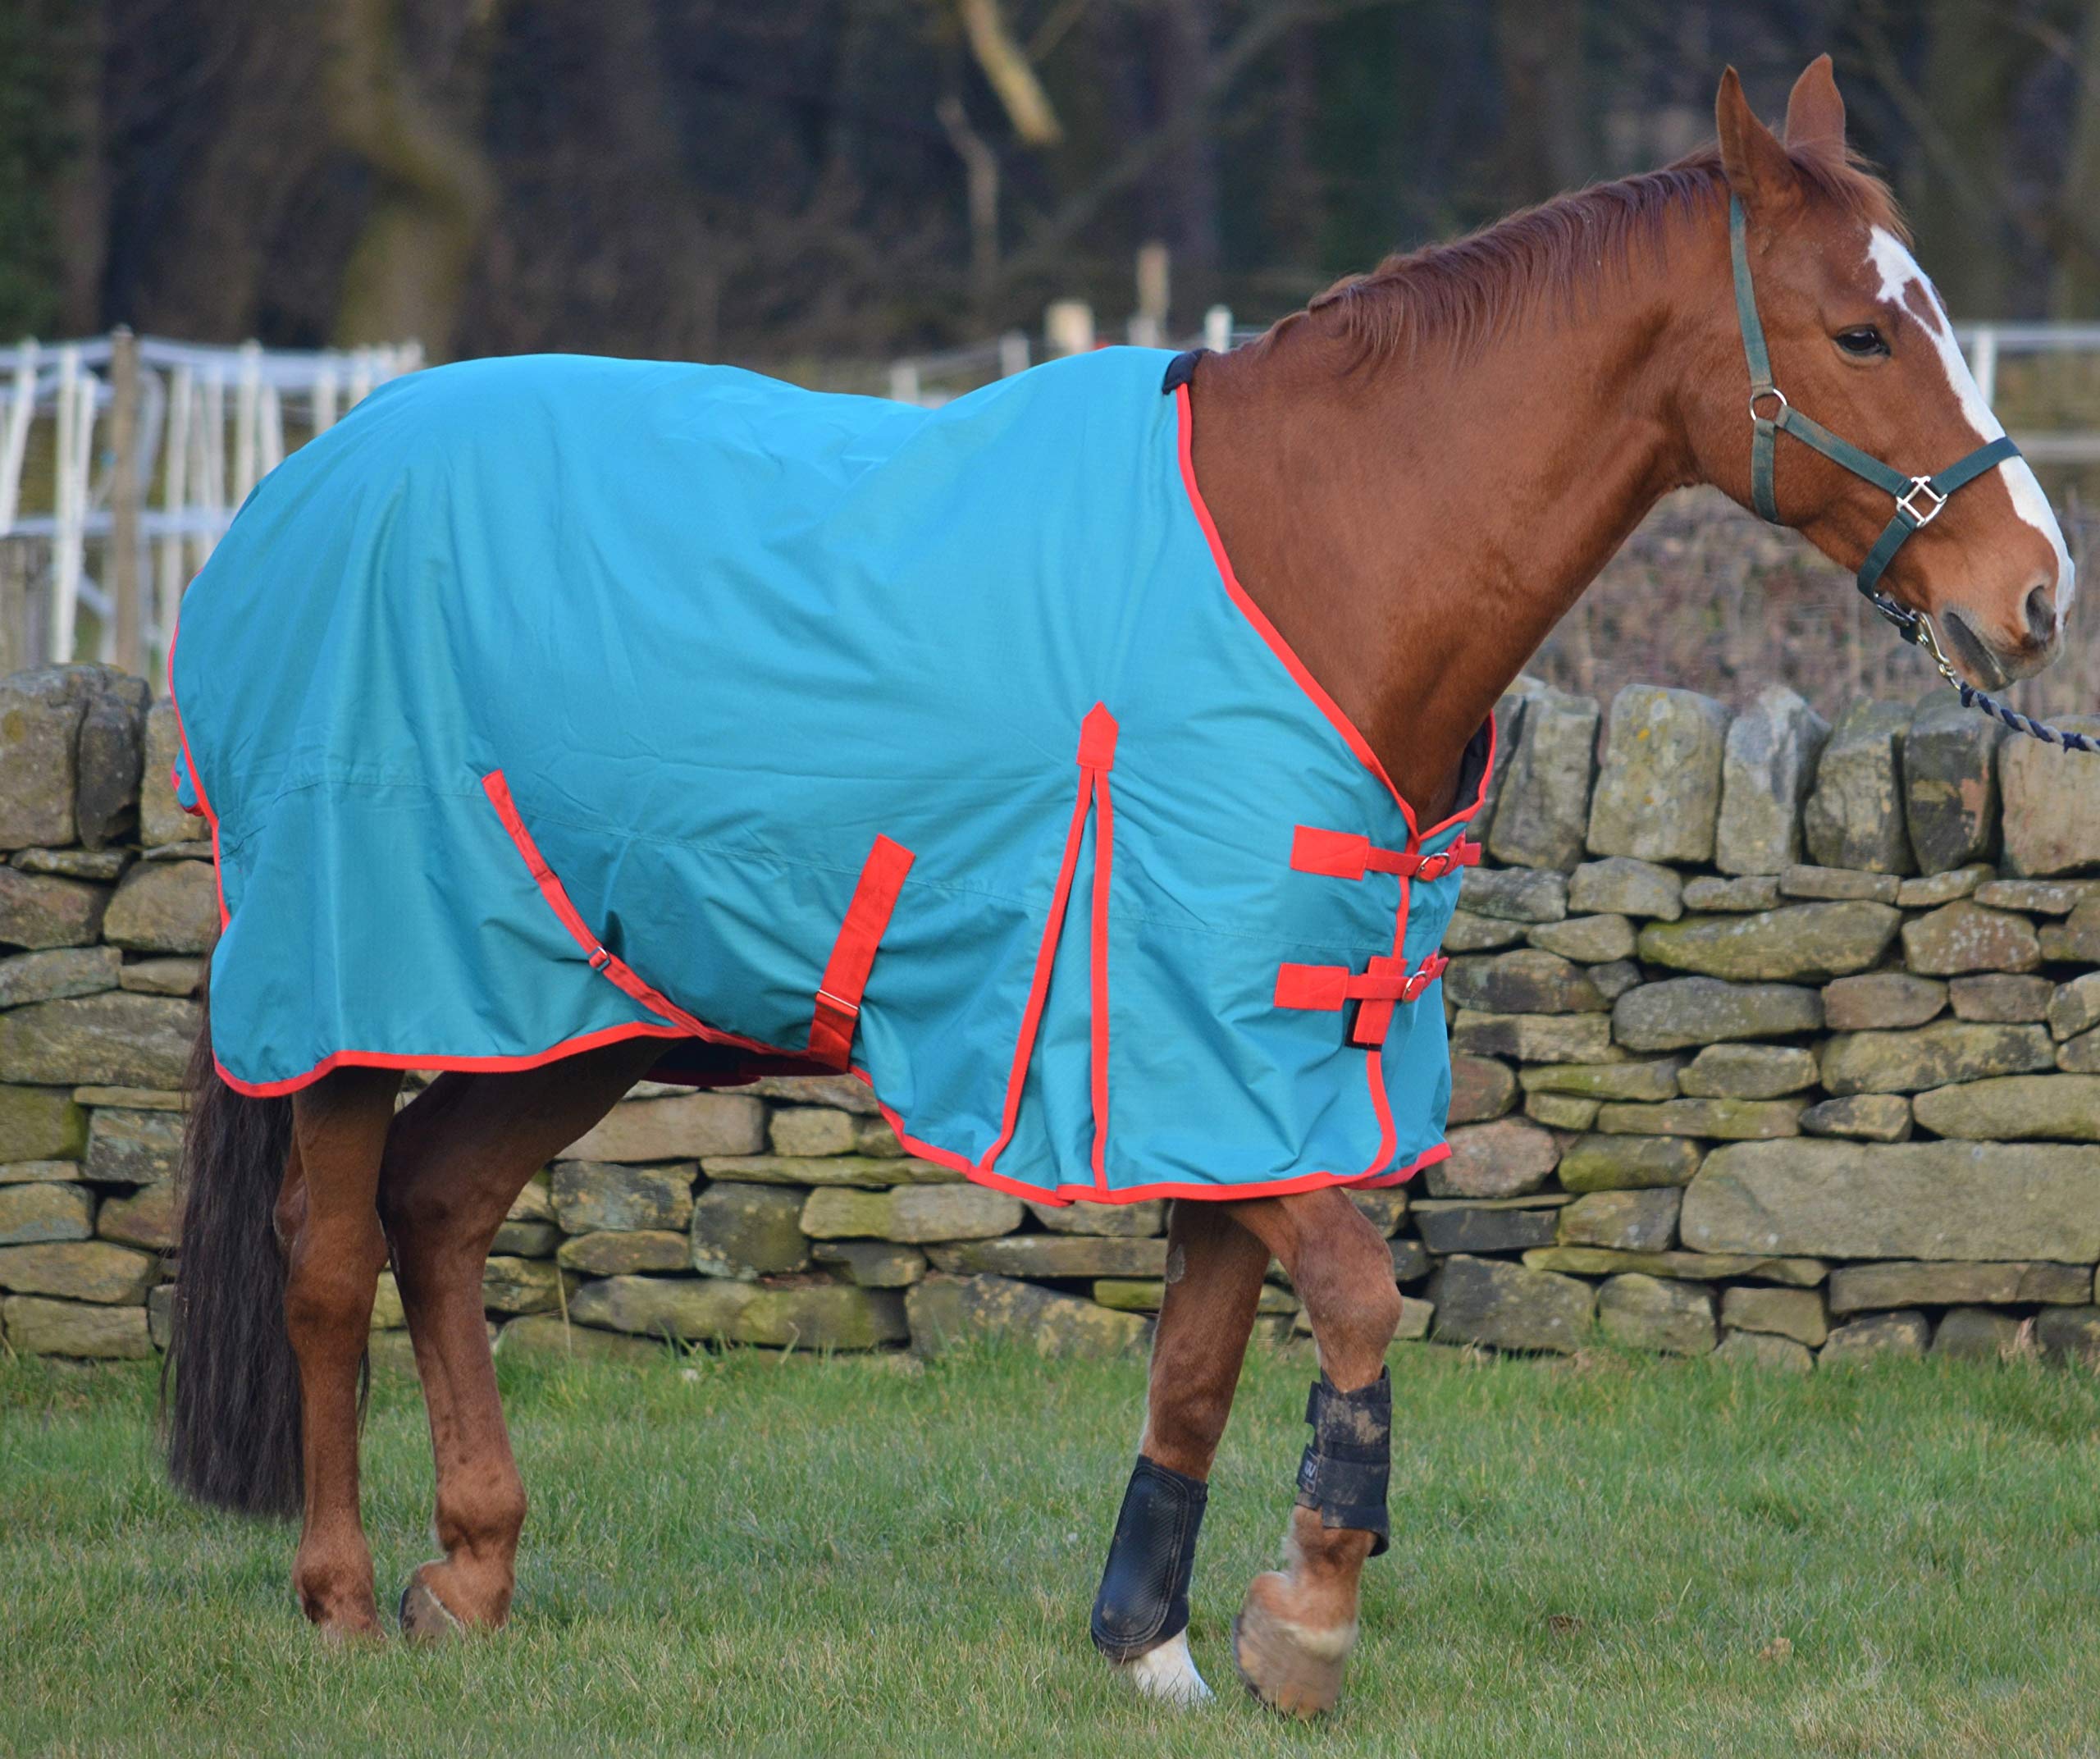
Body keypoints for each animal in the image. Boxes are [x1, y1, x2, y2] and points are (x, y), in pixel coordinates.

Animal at [161, 56, 2071, 1718]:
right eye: (1857, 329)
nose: (2037, 593)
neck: (1316, 557)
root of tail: (295, 491)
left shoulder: (1256, 1069)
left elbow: (1202, 1362)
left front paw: (1151, 1639)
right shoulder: (1183, 1041)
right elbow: (1357, 1298)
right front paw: (1306, 1614)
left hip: (587, 1005)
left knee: (439, 1208)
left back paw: (471, 1571)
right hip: (359, 988)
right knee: (330, 1253)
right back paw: (340, 1596)